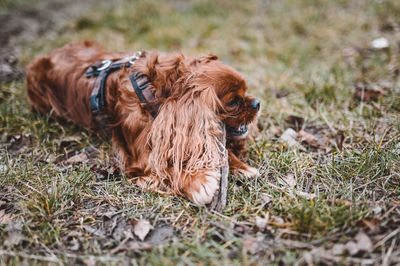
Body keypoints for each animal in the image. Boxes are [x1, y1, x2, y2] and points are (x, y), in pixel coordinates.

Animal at [26, 40, 260, 205]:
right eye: (233, 102)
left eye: (246, 92)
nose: (257, 103)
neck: (154, 93)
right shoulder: (140, 159)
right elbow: (168, 166)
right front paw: (198, 182)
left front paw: (241, 167)